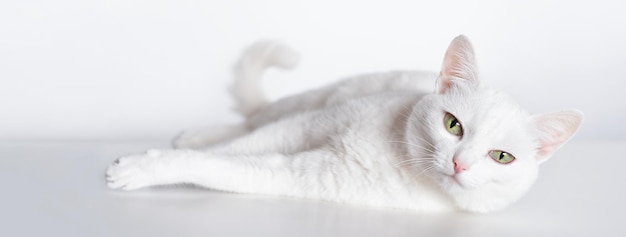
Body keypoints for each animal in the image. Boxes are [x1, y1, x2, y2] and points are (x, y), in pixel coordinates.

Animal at [106, 35, 580, 213]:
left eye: (501, 157)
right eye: (452, 125)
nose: (460, 163)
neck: (397, 155)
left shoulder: (295, 174)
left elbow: (216, 165)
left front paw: (142, 167)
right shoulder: (301, 127)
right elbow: (224, 151)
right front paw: (151, 159)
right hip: (317, 100)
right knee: (257, 119)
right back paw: (197, 132)